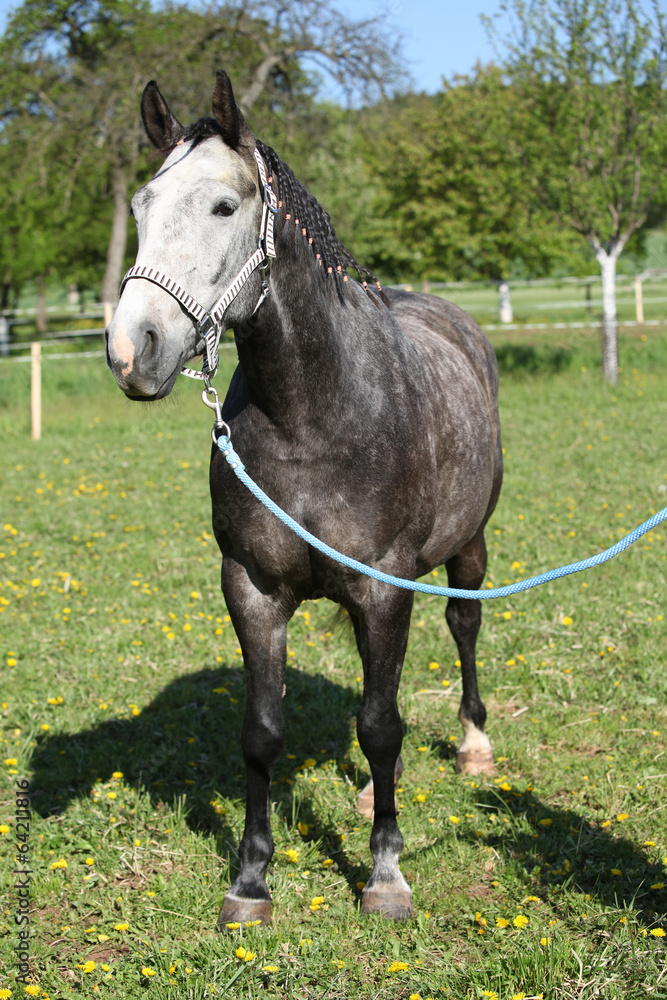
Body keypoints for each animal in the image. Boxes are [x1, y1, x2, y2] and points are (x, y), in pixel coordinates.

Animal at [105, 70, 503, 925]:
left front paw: (385, 875)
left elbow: (380, 727)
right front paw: (251, 879)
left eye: (224, 206)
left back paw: (473, 747)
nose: (130, 351)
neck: (314, 413)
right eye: (141, 208)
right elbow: (263, 731)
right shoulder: (252, 588)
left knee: (462, 629)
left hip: (468, 546)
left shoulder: (384, 590)